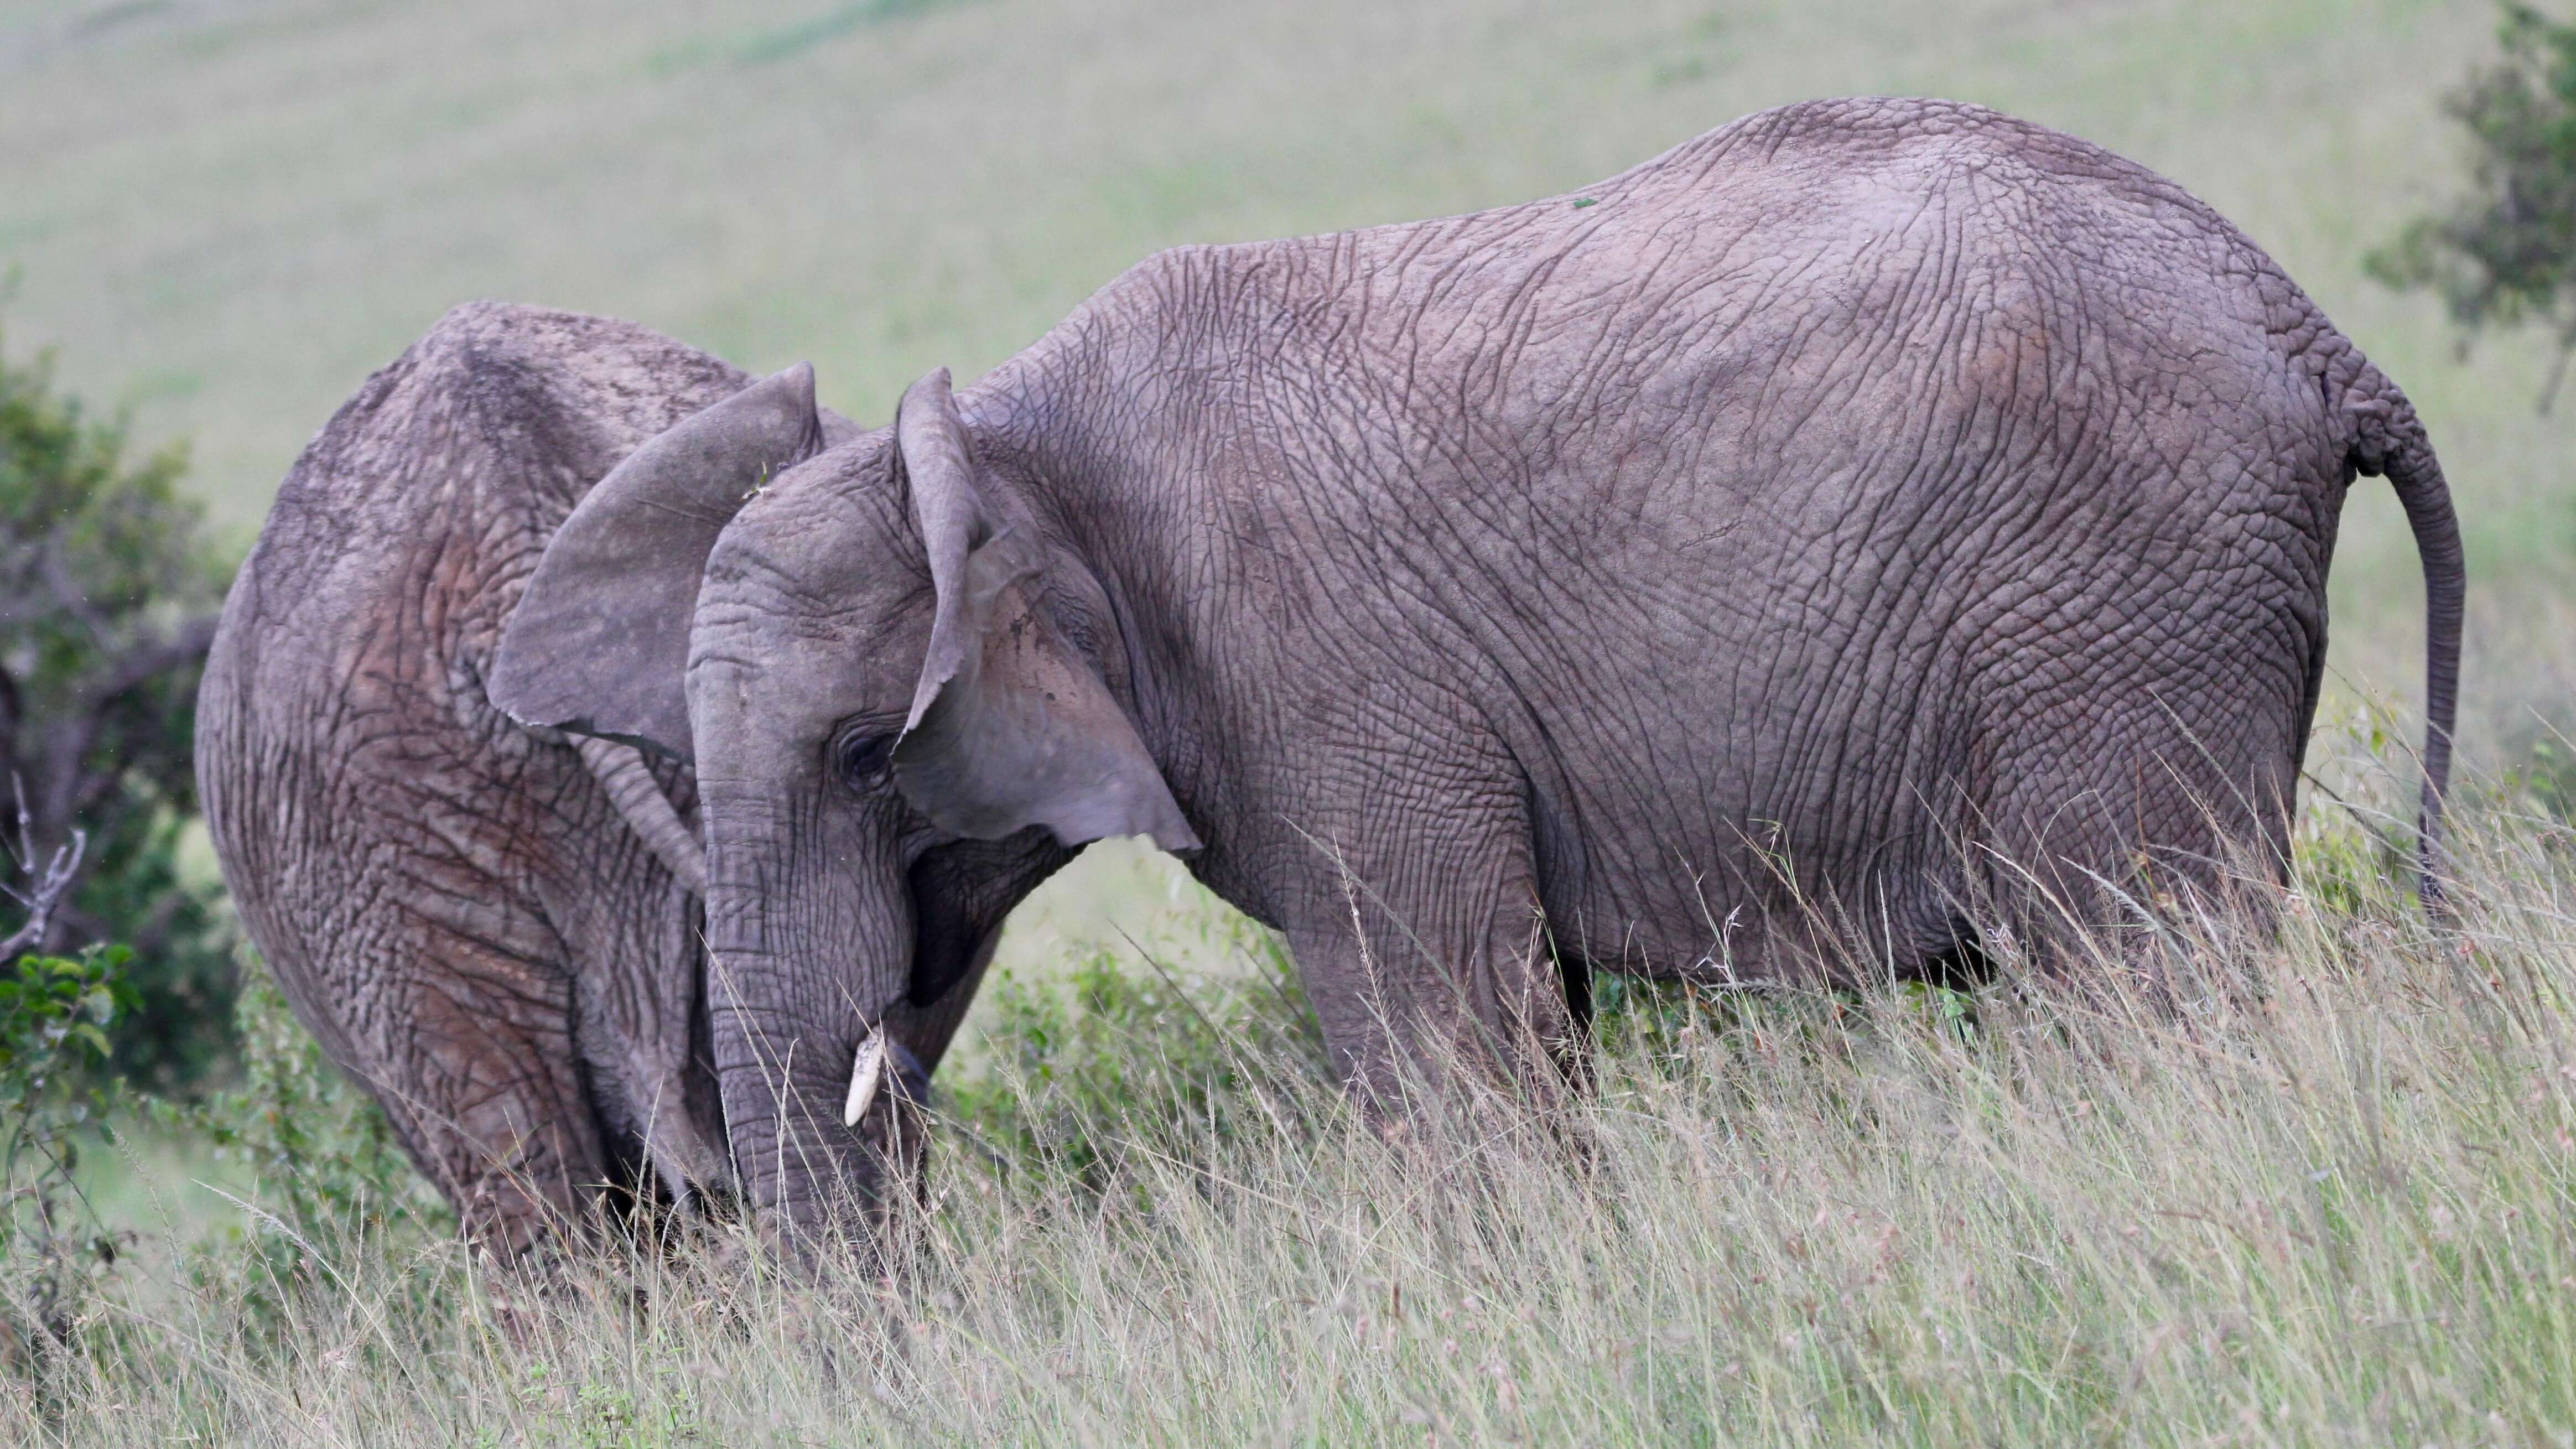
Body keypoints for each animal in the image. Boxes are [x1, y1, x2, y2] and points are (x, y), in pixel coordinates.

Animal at [479, 98, 2452, 1227]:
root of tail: (2316, 335)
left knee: (2140, 967)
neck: (1003, 434)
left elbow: (1454, 1061)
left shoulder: (1321, 676)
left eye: (865, 758)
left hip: (2113, 595)